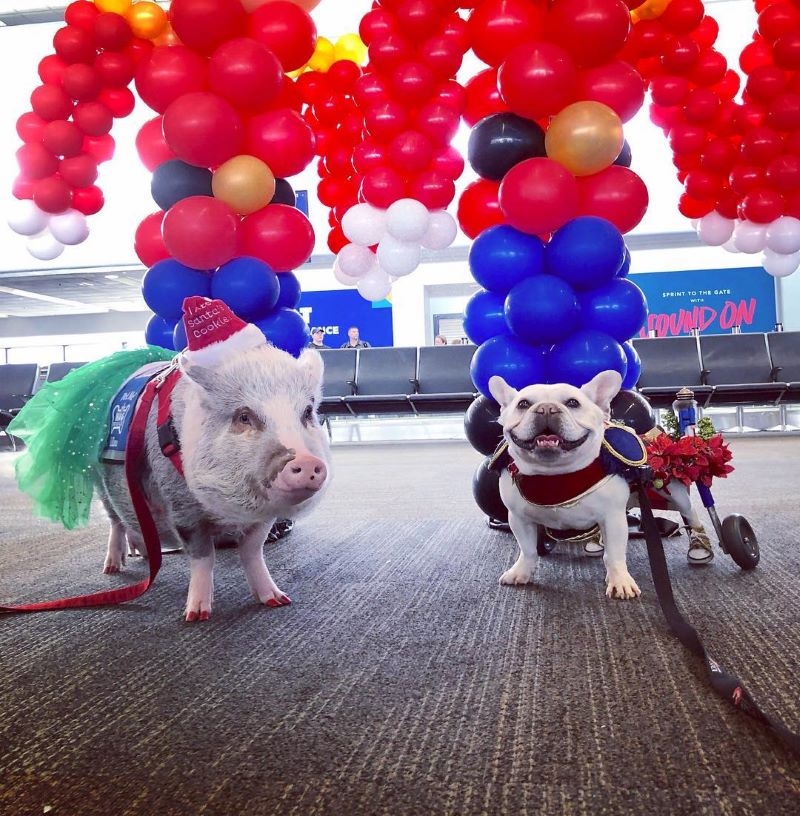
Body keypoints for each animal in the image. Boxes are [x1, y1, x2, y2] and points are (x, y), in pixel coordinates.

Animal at [95, 346, 330, 624]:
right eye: (244, 416)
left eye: (307, 412)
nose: (307, 462)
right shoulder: (182, 508)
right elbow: (204, 557)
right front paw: (196, 616)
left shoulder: (263, 517)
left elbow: (253, 553)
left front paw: (278, 600)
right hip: (102, 484)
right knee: (116, 522)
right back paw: (112, 568)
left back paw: (141, 554)